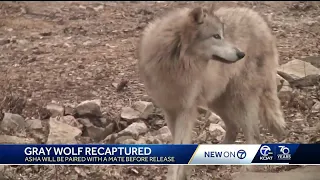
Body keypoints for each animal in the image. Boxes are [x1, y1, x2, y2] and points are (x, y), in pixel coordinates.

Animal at [136, 4, 286, 180]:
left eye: (222, 35)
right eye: (216, 36)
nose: (241, 54)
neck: (175, 65)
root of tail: (260, 21)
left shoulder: (186, 110)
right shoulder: (170, 110)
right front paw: (183, 174)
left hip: (240, 100)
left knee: (254, 136)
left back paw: (244, 172)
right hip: (216, 101)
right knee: (234, 128)